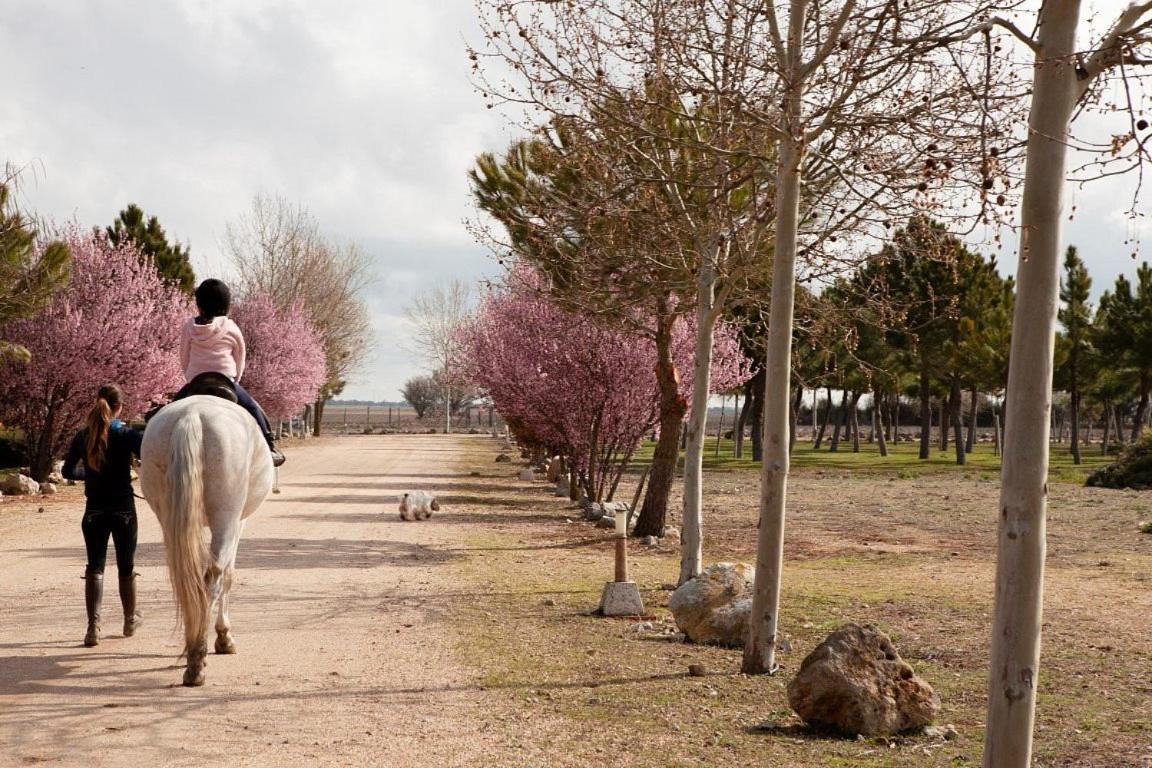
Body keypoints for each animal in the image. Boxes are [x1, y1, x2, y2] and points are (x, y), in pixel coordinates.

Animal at [138, 396, 273, 686]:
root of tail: (192, 415)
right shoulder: (239, 523)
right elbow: (229, 576)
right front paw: (224, 637)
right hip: (226, 518)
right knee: (213, 578)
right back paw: (197, 657)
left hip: (169, 519)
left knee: (185, 579)